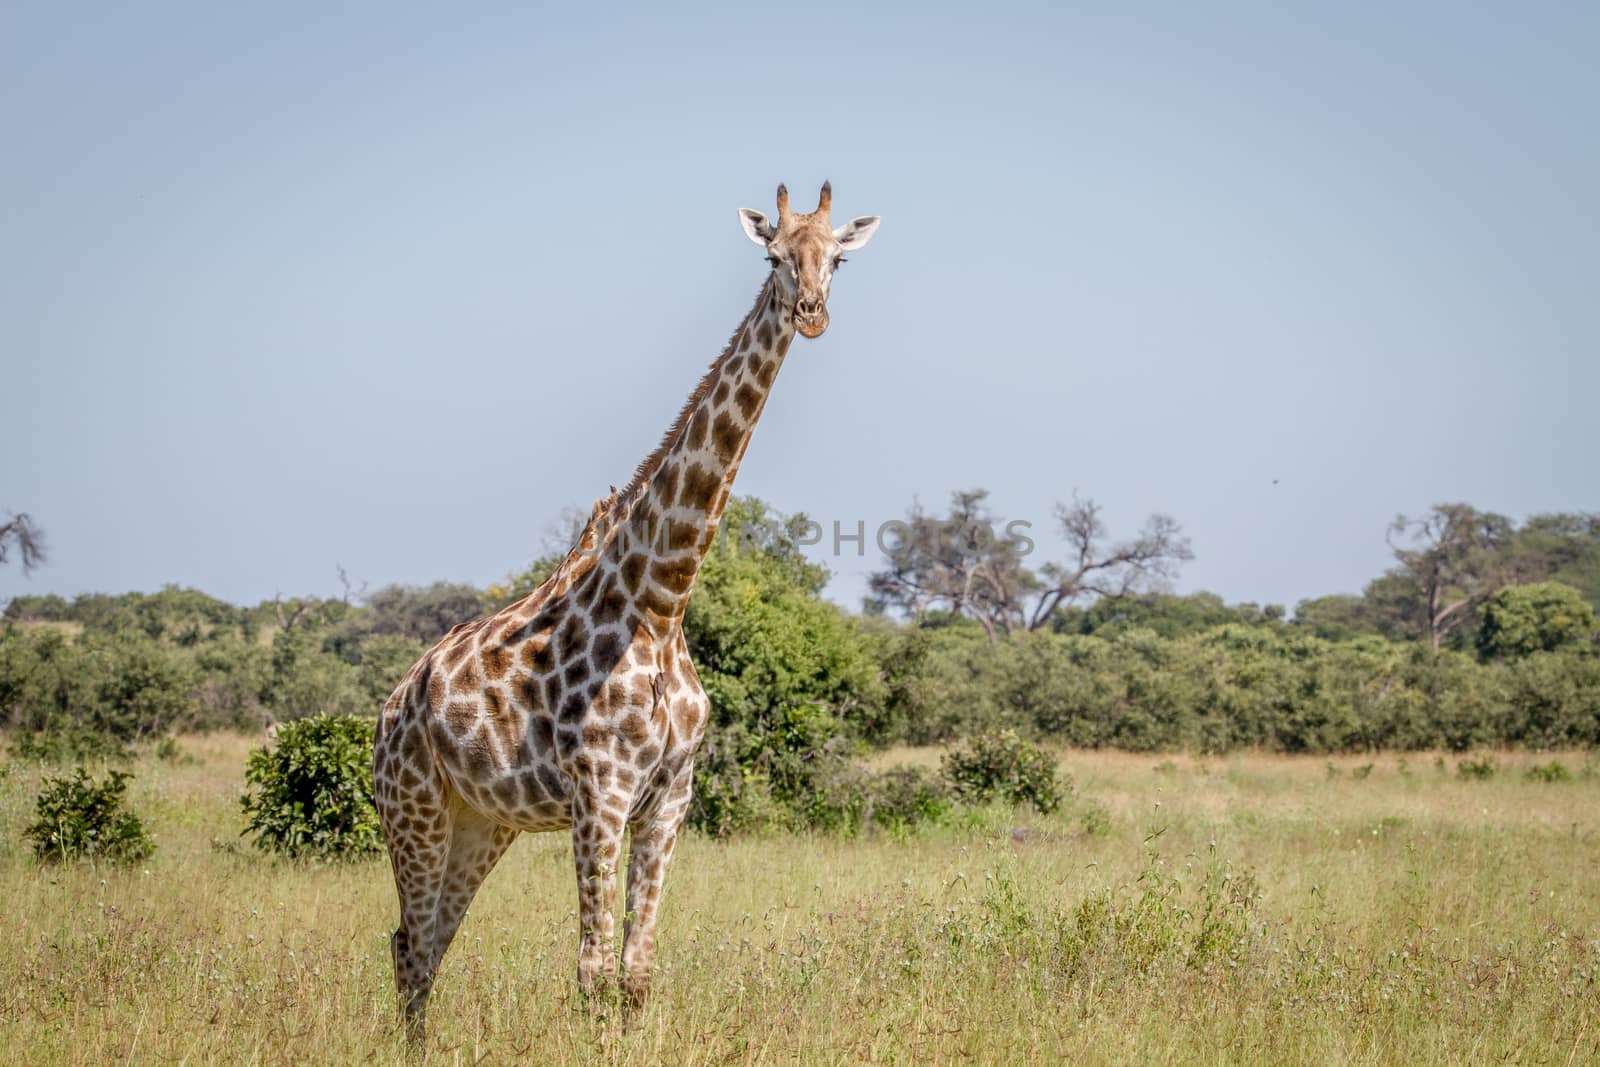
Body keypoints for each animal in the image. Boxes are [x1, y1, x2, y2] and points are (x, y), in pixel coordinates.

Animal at [369, 181, 883, 1036]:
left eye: (837, 258)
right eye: (775, 256)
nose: (810, 312)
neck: (663, 601)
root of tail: (393, 702)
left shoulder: (669, 797)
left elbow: (636, 972)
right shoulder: (600, 793)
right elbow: (590, 971)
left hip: (483, 821)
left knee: (429, 939)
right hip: (410, 804)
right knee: (409, 942)